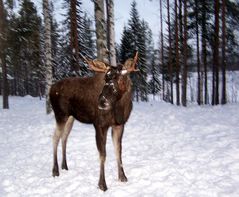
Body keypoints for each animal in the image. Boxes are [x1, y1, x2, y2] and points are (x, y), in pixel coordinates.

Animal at [49, 52, 138, 191]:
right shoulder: (99, 125)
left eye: (121, 79)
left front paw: (123, 177)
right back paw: (55, 171)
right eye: (106, 78)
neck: (120, 108)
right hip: (60, 115)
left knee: (64, 137)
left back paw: (64, 166)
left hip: (70, 117)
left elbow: (118, 151)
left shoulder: (119, 124)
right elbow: (103, 155)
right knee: (55, 137)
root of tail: (50, 90)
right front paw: (102, 184)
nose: (102, 101)